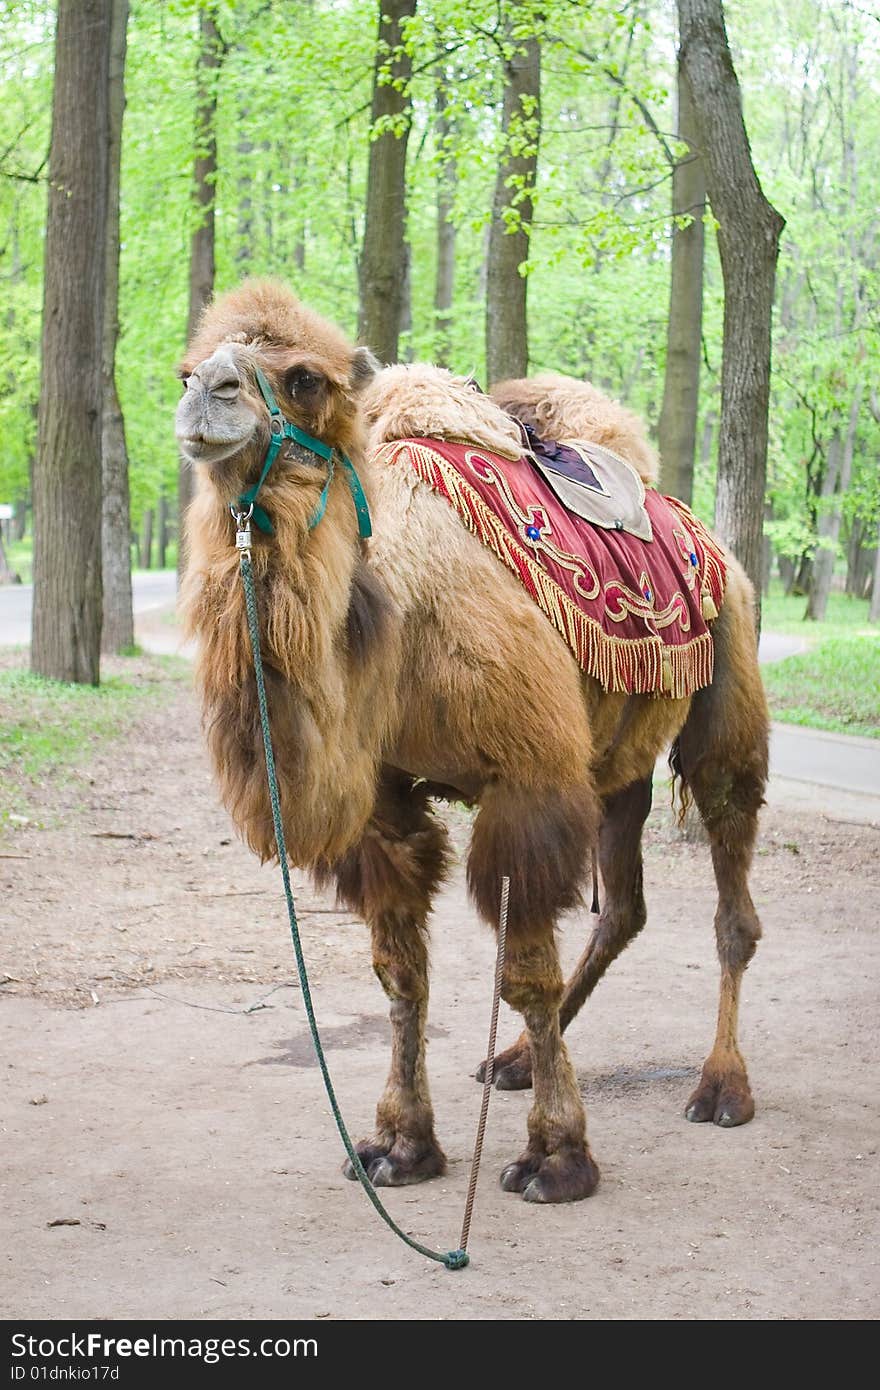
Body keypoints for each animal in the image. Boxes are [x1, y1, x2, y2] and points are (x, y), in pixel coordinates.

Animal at [175, 276, 767, 1200]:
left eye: (303, 378)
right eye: (188, 365)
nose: (210, 393)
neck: (393, 622)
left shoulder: (528, 780)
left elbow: (522, 972)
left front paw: (556, 1157)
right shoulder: (383, 805)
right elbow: (400, 974)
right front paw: (399, 1144)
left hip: (724, 687)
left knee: (730, 891)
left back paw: (721, 1087)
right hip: (612, 765)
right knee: (623, 907)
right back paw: (517, 1060)